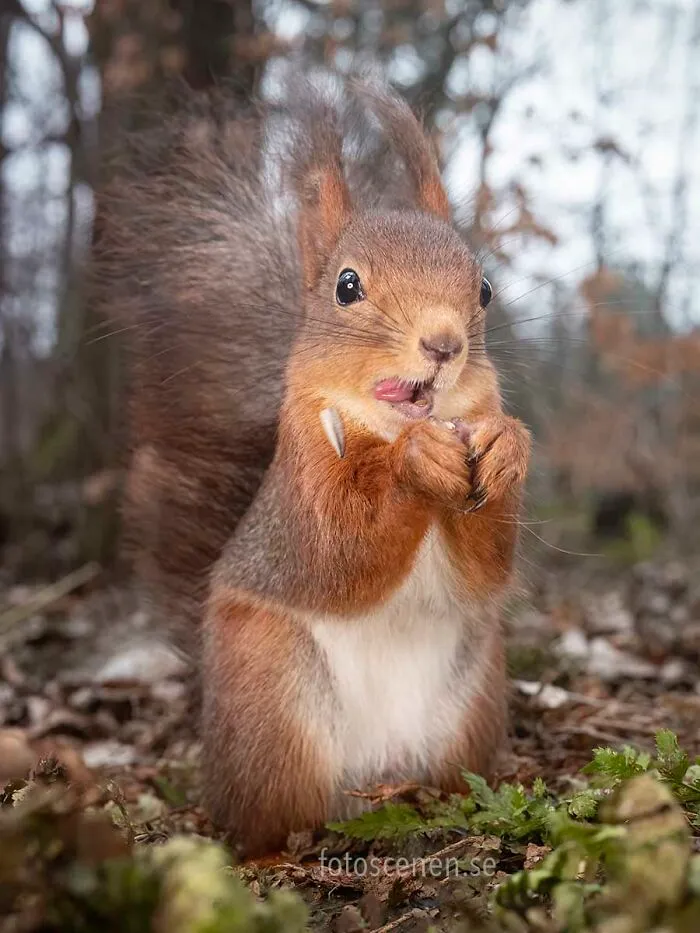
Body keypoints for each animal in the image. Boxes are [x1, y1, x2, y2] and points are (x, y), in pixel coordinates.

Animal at [96, 78, 531, 855]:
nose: (444, 343)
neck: (387, 429)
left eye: (483, 288)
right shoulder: (302, 499)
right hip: (275, 703)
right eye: (347, 286)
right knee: (266, 822)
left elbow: (486, 566)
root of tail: (375, 780)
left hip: (471, 706)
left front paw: (507, 446)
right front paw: (417, 463)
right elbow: (341, 552)